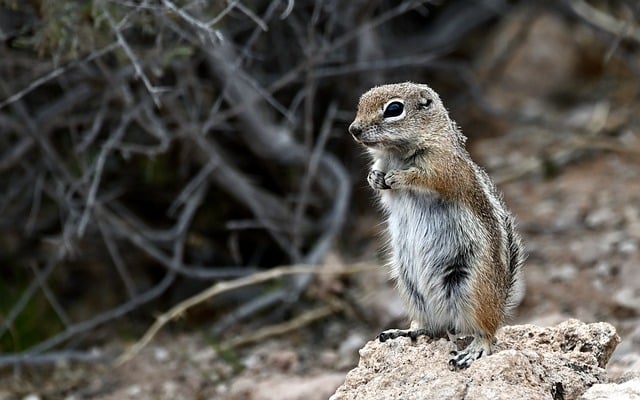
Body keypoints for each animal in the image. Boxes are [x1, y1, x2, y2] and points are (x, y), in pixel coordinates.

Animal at [350, 83, 524, 370]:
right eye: (360, 104)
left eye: (394, 109)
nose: (354, 129)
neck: (396, 153)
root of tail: (500, 304)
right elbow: (380, 182)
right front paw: (375, 177)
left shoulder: (444, 166)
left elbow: (429, 178)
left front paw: (399, 177)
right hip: (411, 288)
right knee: (435, 328)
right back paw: (407, 331)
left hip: (472, 288)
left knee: (487, 332)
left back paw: (474, 349)